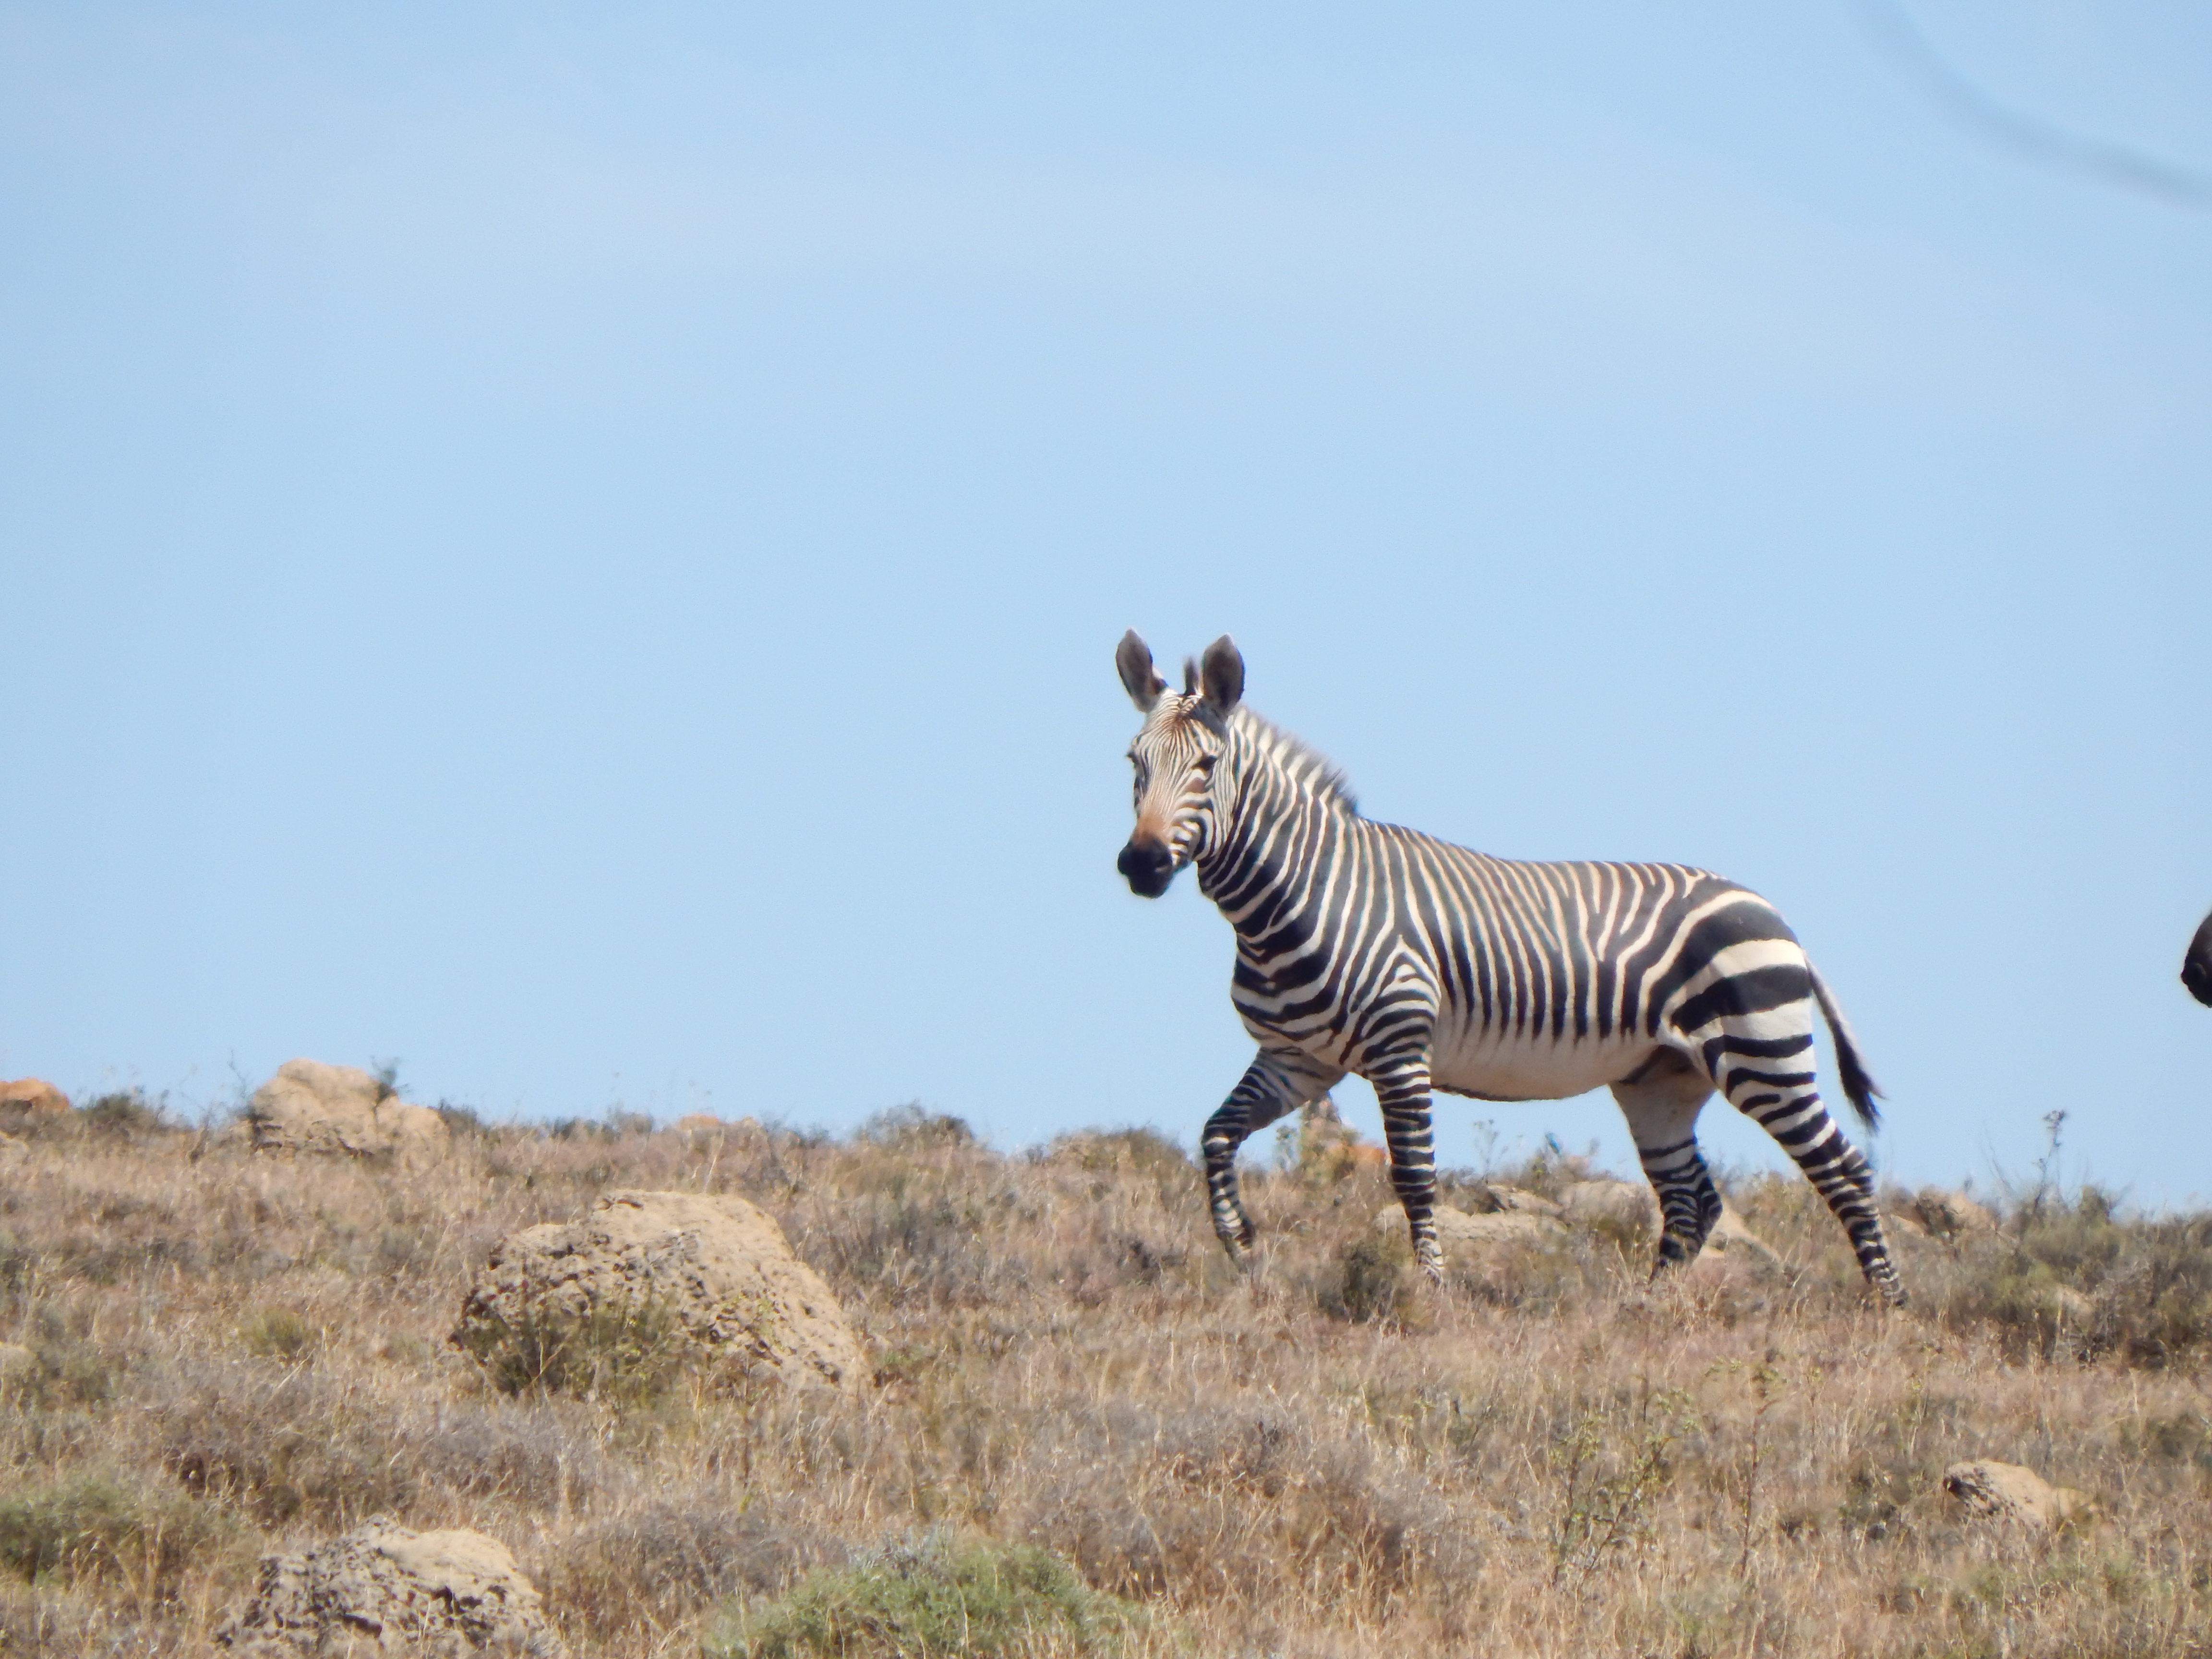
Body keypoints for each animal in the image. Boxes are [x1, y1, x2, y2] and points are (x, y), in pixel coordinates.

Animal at [1115, 628, 1911, 1309]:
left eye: (1207, 767)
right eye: (1133, 763)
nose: (1141, 865)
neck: (1296, 901)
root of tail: (1775, 916)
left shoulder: (1399, 1049)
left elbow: (1415, 1176)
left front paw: (1433, 1293)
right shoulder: (1297, 1059)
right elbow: (1217, 1135)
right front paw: (1243, 1249)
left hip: (1762, 1055)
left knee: (1842, 1167)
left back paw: (1889, 1303)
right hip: (1660, 1081)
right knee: (1693, 1199)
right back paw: (1643, 1309)